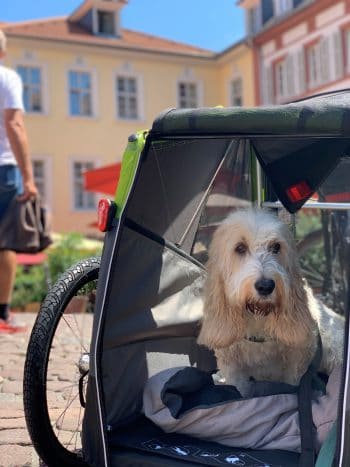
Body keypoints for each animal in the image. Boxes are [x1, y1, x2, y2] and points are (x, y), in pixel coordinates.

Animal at [198, 210, 344, 396]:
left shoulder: (298, 361)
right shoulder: (232, 365)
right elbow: (239, 388)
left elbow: (294, 382)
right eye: (240, 248)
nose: (265, 286)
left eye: (276, 247)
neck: (258, 318)